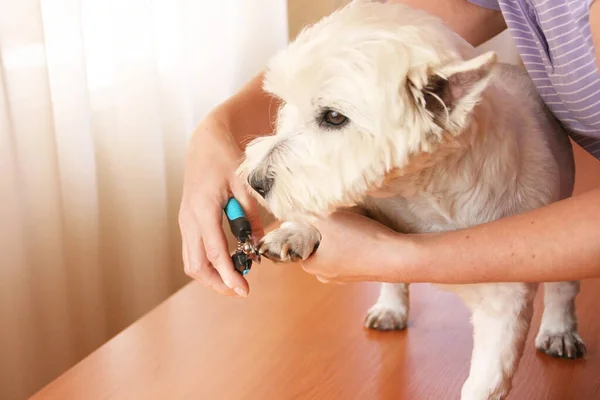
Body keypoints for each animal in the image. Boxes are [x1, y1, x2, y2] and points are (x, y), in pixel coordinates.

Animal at [237, 1, 584, 398]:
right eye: (286, 104)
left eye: (334, 117)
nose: (255, 181)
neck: (419, 194)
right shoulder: (374, 200)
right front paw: (294, 232)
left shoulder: (505, 300)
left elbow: (486, 379)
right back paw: (391, 308)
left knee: (563, 284)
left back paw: (559, 330)